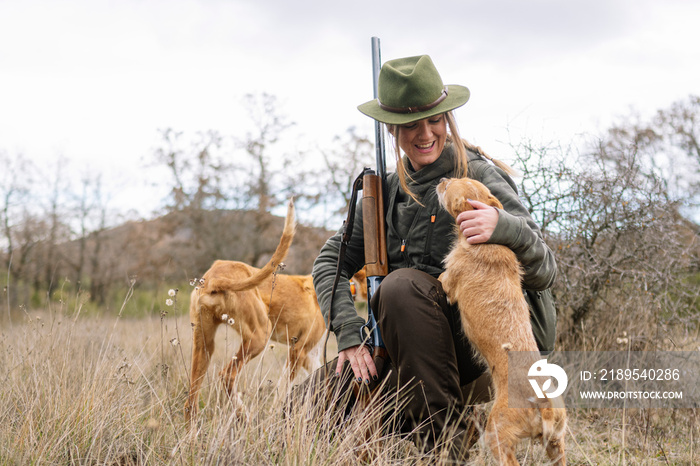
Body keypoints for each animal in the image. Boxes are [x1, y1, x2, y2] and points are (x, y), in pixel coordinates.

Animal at [186, 198, 328, 420]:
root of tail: (215, 276)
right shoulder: (298, 351)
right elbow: (283, 389)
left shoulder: (309, 355)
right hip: (259, 336)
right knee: (226, 375)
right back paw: (244, 415)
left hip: (204, 346)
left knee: (190, 402)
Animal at [434, 178, 568, 466]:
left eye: (451, 185)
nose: (441, 180)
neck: (488, 241)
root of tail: (544, 404)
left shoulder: (447, 282)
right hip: (556, 444)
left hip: (496, 437)